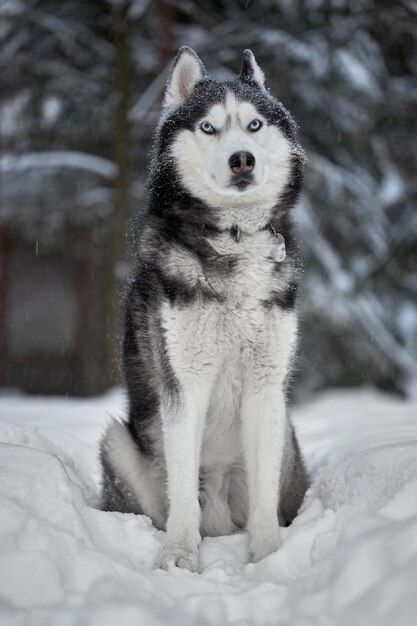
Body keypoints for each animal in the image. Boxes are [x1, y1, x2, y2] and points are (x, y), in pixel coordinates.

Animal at [100, 46, 308, 568]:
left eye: (254, 125)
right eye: (209, 127)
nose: (242, 160)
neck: (233, 239)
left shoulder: (266, 385)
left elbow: (263, 499)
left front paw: (268, 556)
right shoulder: (184, 382)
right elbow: (180, 487)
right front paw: (178, 555)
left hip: (286, 436)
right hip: (118, 443)